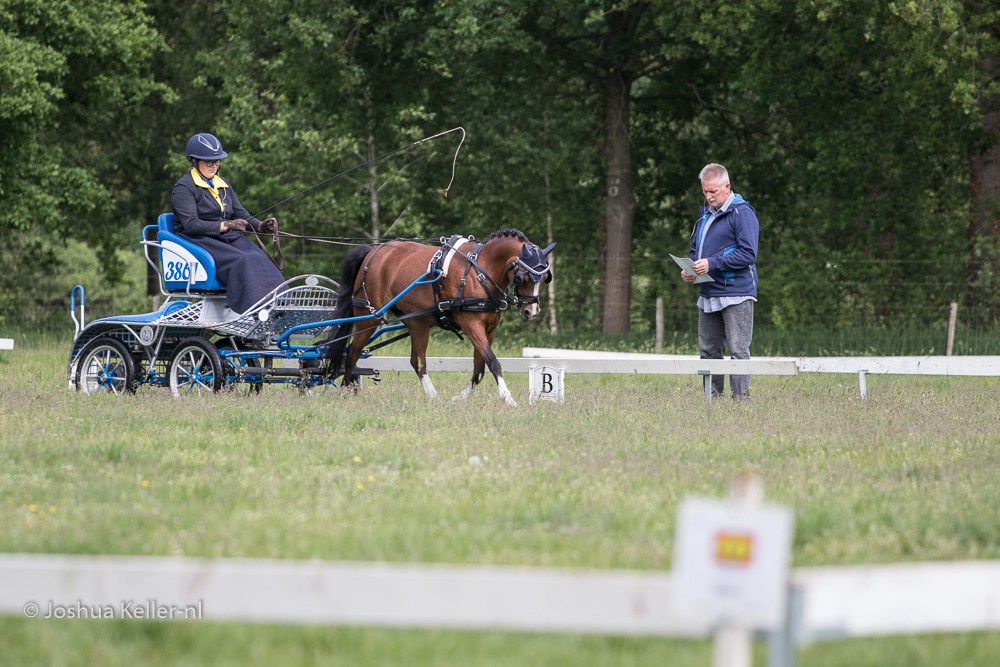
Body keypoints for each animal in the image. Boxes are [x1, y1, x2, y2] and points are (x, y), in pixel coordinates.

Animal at [324, 230, 556, 408]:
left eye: (545, 277)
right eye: (524, 277)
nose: (531, 312)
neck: (480, 271)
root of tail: (373, 251)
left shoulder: (489, 330)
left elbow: (479, 368)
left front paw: (459, 398)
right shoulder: (471, 325)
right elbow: (493, 363)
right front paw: (508, 399)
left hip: (416, 322)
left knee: (417, 362)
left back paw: (433, 397)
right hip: (369, 317)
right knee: (352, 354)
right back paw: (346, 391)